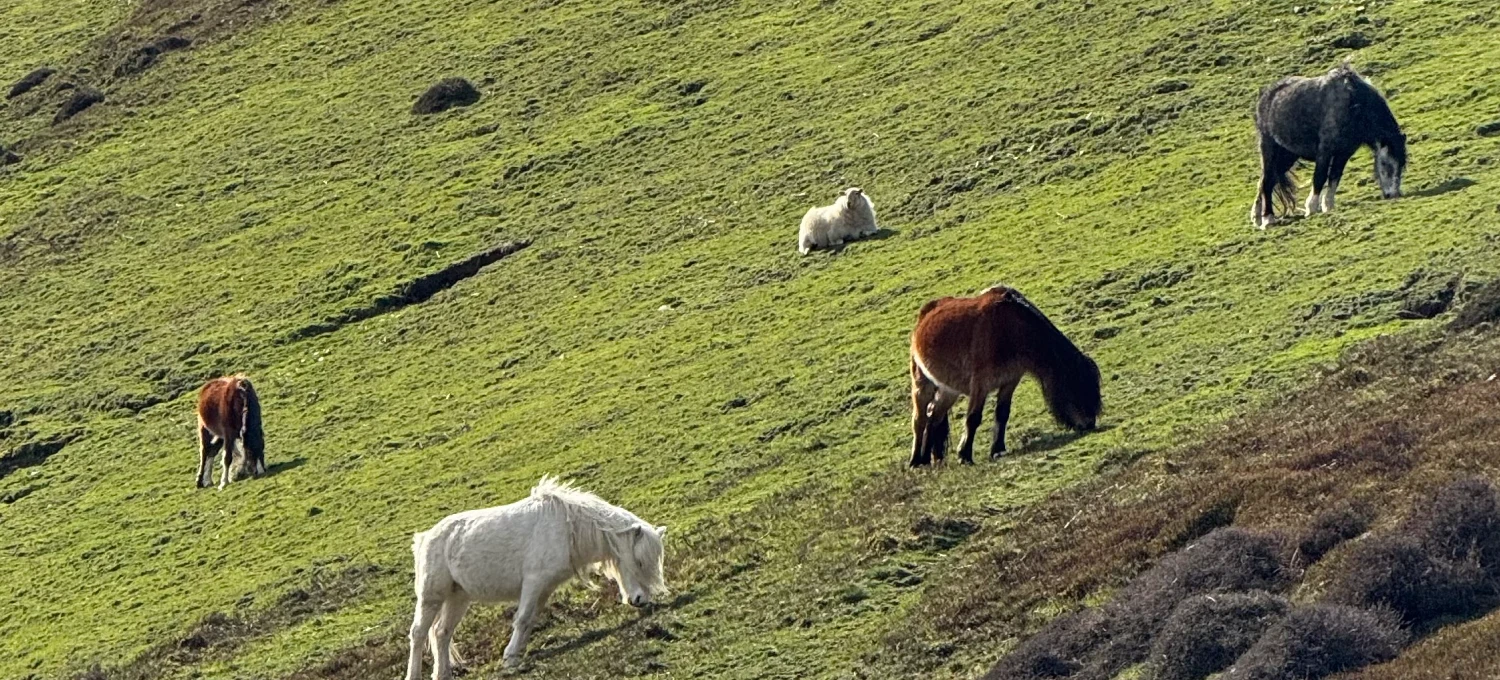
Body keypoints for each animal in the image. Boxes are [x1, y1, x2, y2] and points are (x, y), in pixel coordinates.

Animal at [405, 476, 669, 678]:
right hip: (432, 596)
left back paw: (443, 673)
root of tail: (426, 537)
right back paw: (414, 674)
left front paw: (518, 651)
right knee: (418, 633)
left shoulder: (545, 588)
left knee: (441, 633)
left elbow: (530, 619)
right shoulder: (533, 583)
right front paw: (510, 657)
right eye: (639, 561)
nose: (640, 600)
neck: (566, 527)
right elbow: (522, 619)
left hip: (458, 597)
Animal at [908, 286, 1102, 467]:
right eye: (1076, 387)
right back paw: (916, 461)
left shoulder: (1010, 380)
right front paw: (965, 455)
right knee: (920, 420)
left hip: (949, 390)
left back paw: (931, 459)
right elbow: (973, 418)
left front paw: (998, 450)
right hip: (922, 383)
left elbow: (1002, 413)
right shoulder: (980, 384)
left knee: (934, 416)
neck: (1010, 329)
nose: (1089, 423)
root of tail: (924, 314)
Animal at [1251, 62, 1407, 229]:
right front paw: (1311, 208)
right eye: (1385, 163)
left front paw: (1328, 206)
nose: (1393, 194)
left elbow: (1334, 177)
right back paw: (1268, 219)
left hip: (1288, 156)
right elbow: (1319, 177)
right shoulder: (1325, 150)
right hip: (1269, 149)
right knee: (1267, 181)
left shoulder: (1344, 153)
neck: (1353, 104)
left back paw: (1257, 217)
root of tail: (1266, 95)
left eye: (1401, 166)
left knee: (1265, 180)